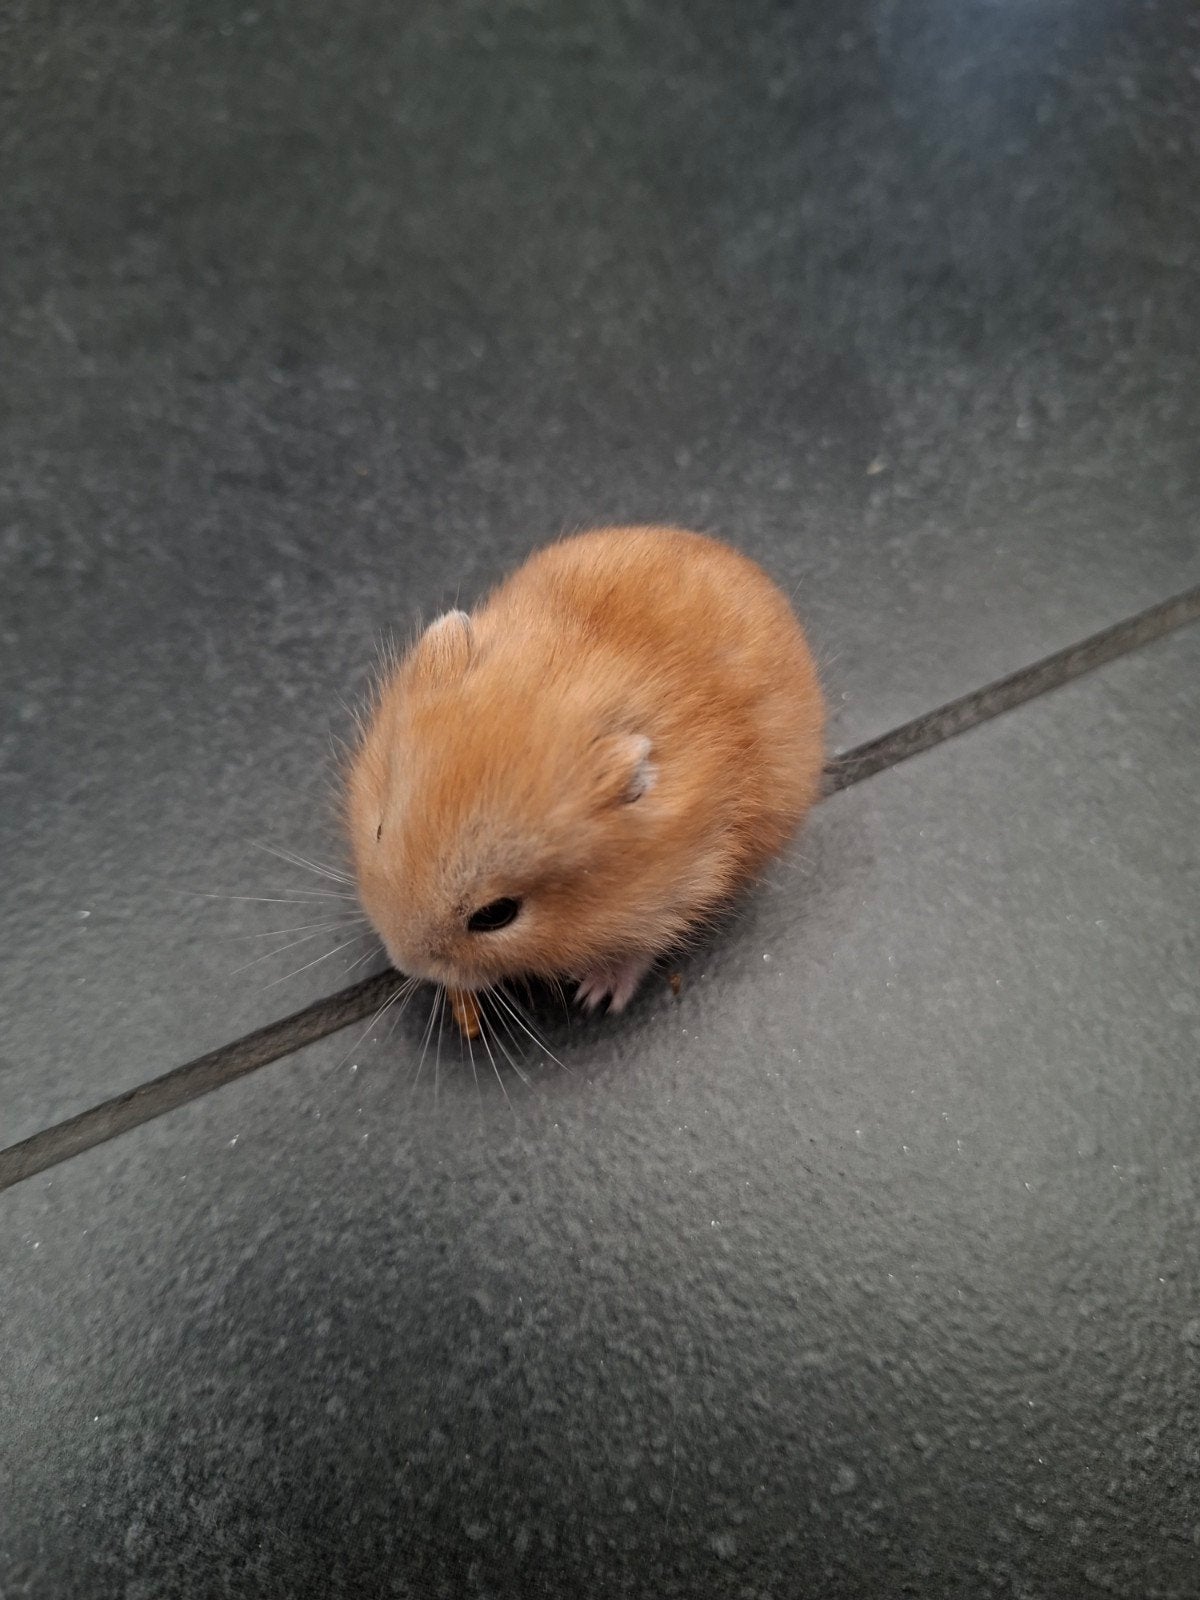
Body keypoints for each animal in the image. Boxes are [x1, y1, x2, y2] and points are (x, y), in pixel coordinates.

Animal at [346, 526, 825, 1021]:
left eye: (496, 915)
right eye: (378, 831)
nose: (403, 962)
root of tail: (741, 561)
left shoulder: (678, 893)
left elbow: (639, 946)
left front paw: (595, 998)